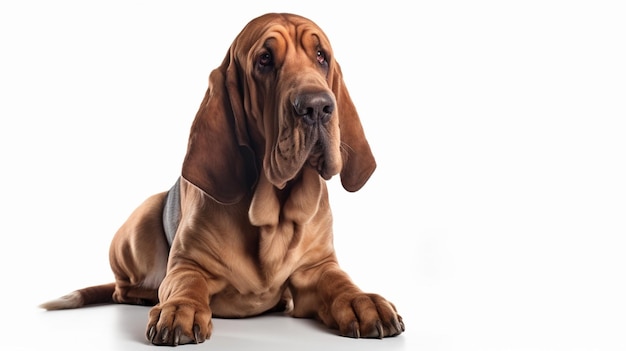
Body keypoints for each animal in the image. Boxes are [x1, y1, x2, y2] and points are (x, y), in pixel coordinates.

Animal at [44, 12, 404, 346]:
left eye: (321, 56)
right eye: (264, 60)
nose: (317, 107)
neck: (273, 217)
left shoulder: (317, 268)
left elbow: (340, 282)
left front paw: (362, 301)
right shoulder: (188, 264)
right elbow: (186, 284)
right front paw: (180, 309)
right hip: (141, 218)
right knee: (122, 288)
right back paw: (145, 295)